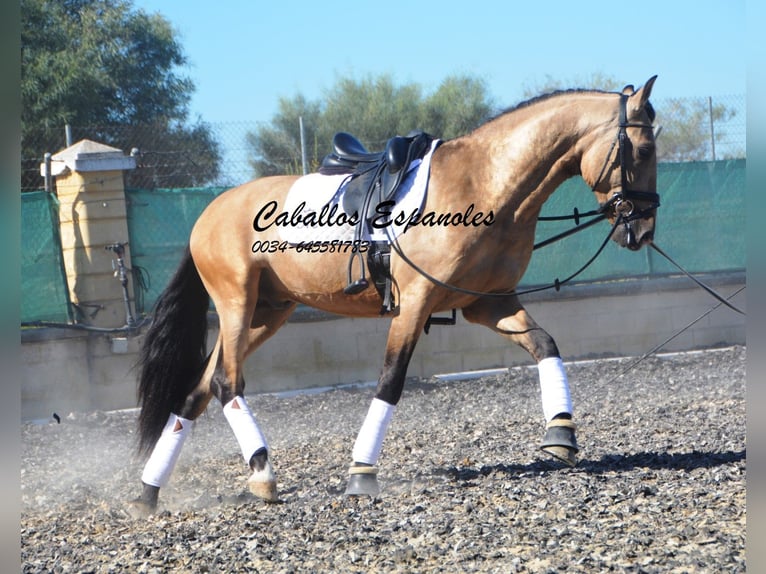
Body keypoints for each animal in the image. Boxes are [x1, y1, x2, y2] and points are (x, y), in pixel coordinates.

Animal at [132, 75, 660, 512]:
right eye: (641, 151)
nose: (642, 230)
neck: (487, 185)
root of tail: (209, 213)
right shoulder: (417, 302)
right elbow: (390, 381)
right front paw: (361, 473)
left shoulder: (488, 302)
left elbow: (546, 345)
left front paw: (561, 433)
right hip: (237, 304)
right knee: (227, 383)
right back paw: (262, 475)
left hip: (268, 312)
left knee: (198, 390)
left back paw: (148, 492)